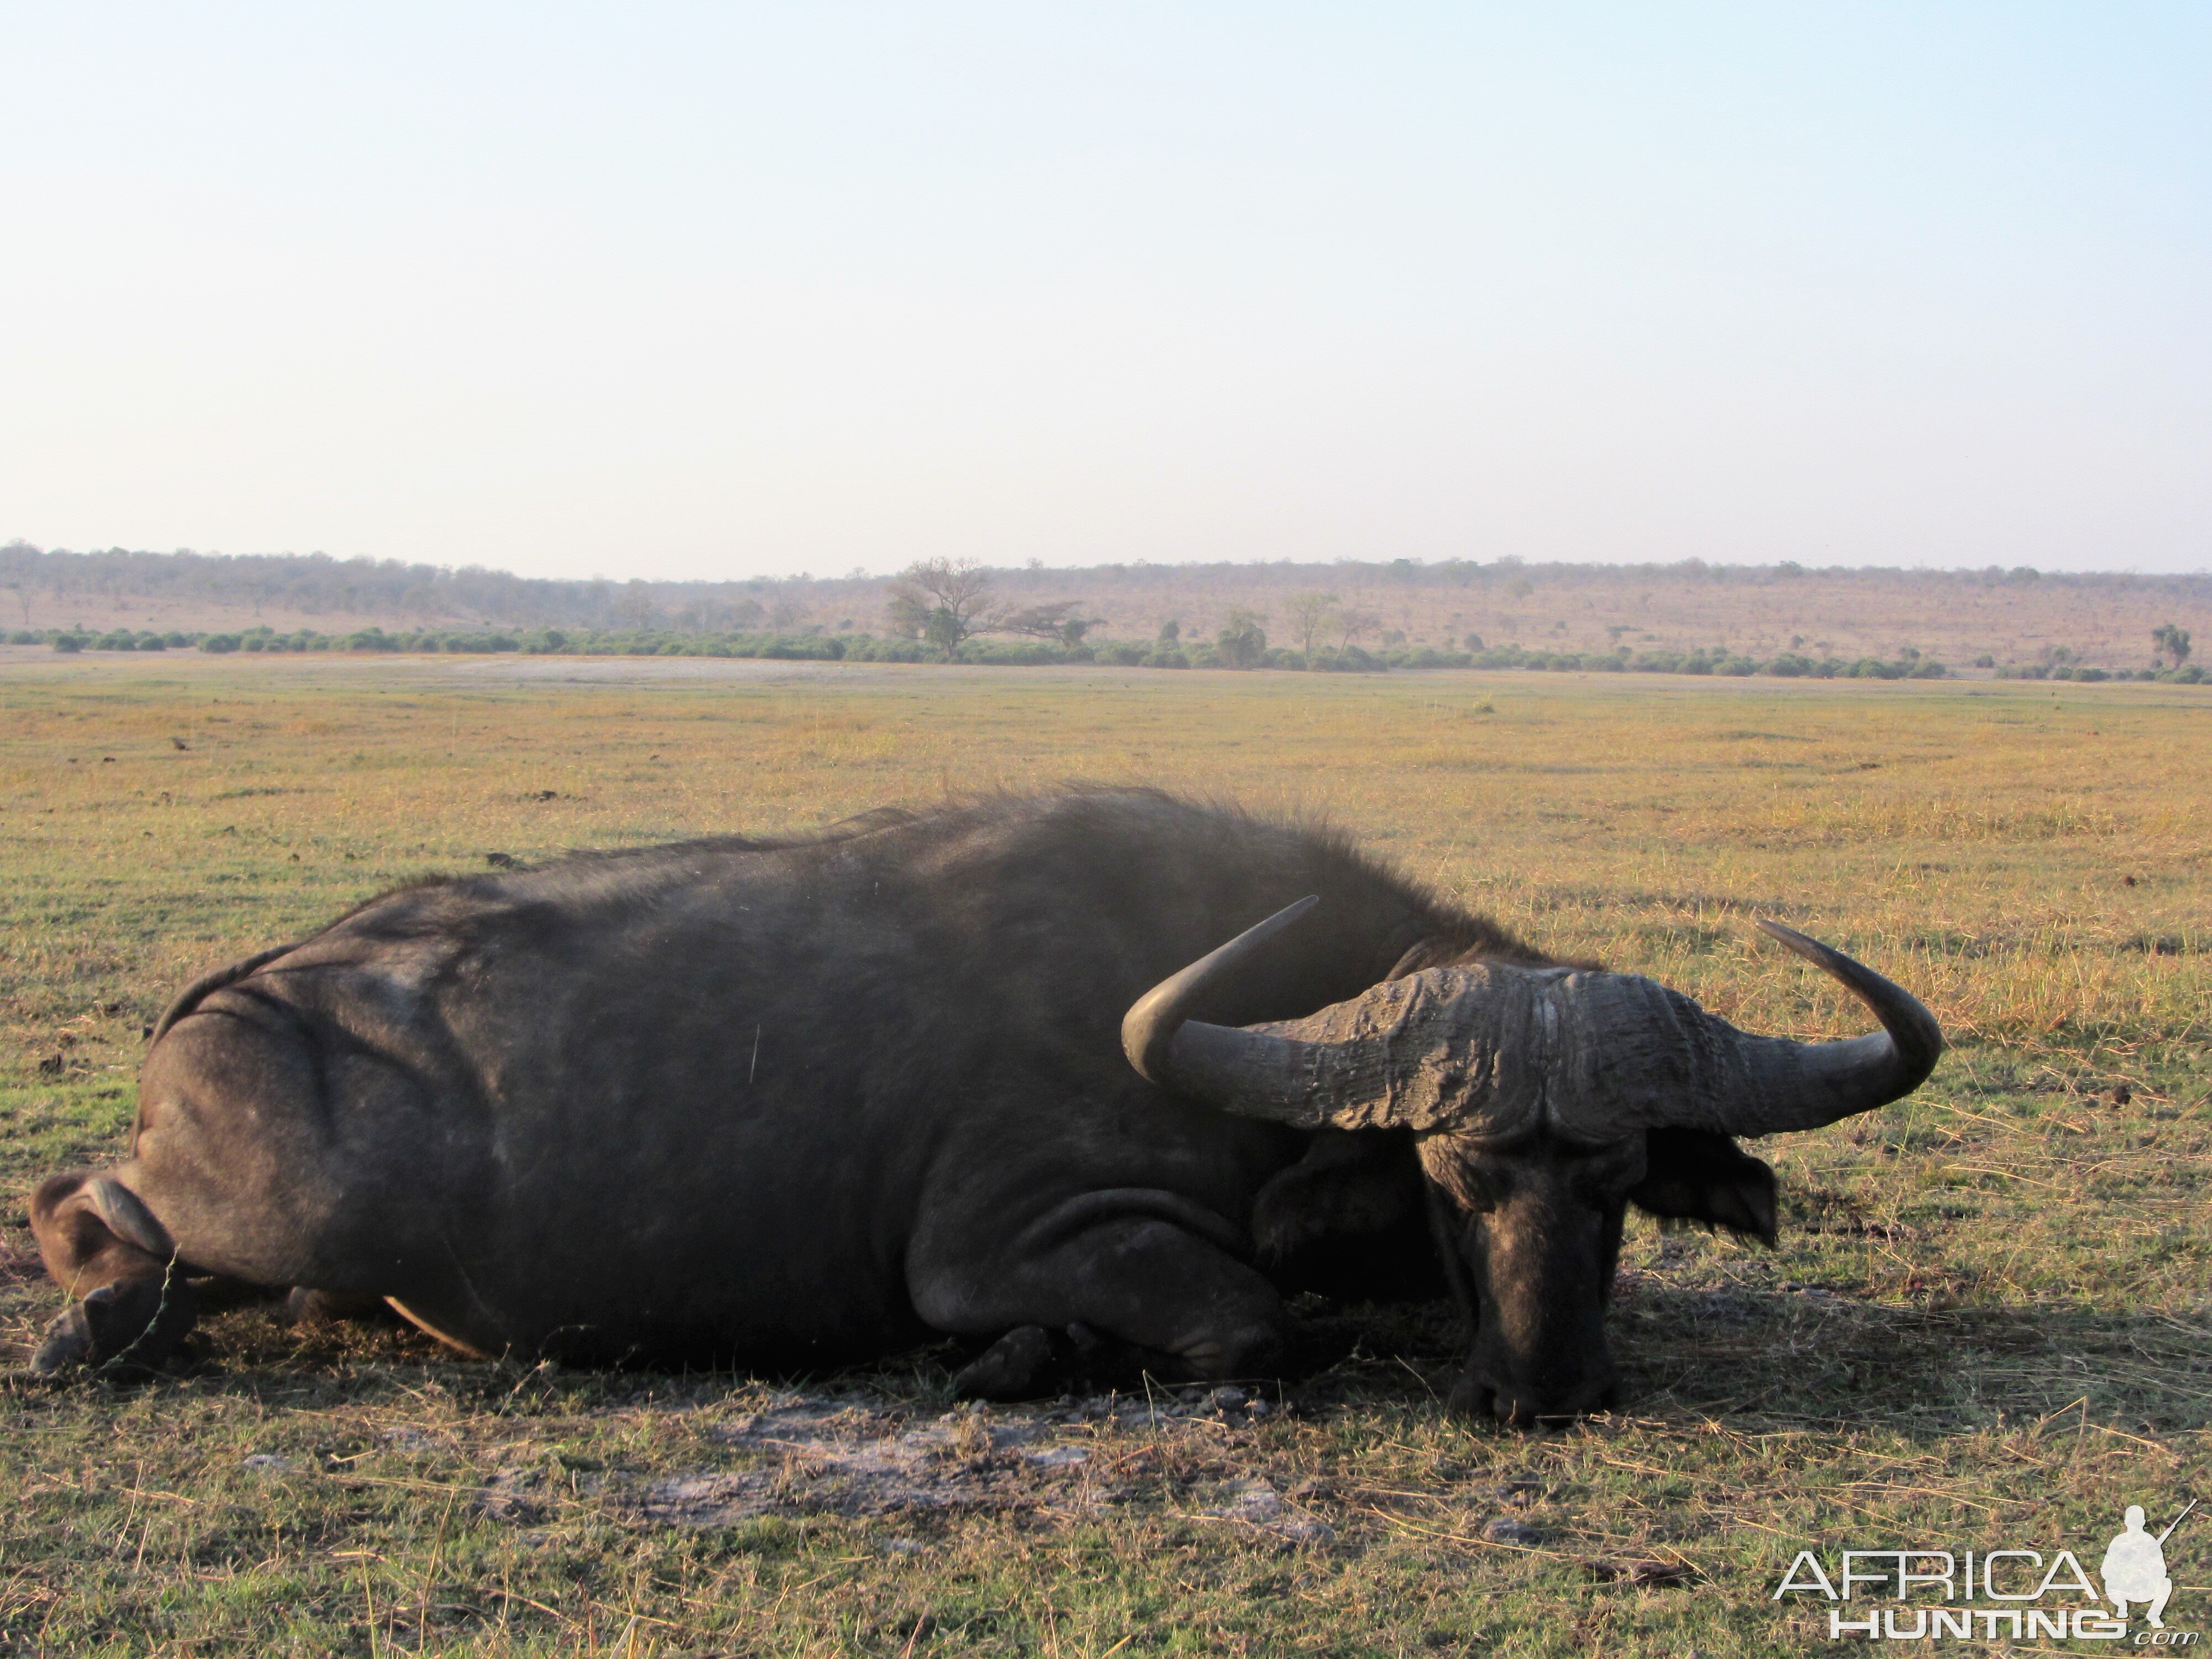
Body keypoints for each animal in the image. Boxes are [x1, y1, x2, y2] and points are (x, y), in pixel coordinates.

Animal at [30, 792, 1938, 1433]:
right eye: (1454, 1172)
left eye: (1612, 1180)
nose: (1541, 1389)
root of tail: (237, 992)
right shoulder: (1018, 1238)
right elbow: (1259, 1327)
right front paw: (1023, 1358)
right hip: (278, 1205)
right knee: (85, 1207)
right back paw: (94, 1326)